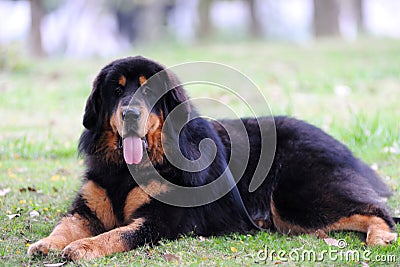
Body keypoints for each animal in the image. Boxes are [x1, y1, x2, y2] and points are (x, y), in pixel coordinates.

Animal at [28, 56, 396, 262]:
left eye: (149, 92)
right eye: (116, 91)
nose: (131, 113)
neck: (126, 171)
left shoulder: (159, 221)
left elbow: (115, 235)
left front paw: (83, 247)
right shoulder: (86, 209)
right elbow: (65, 226)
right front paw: (46, 243)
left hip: (296, 200)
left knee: (379, 211)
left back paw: (381, 238)